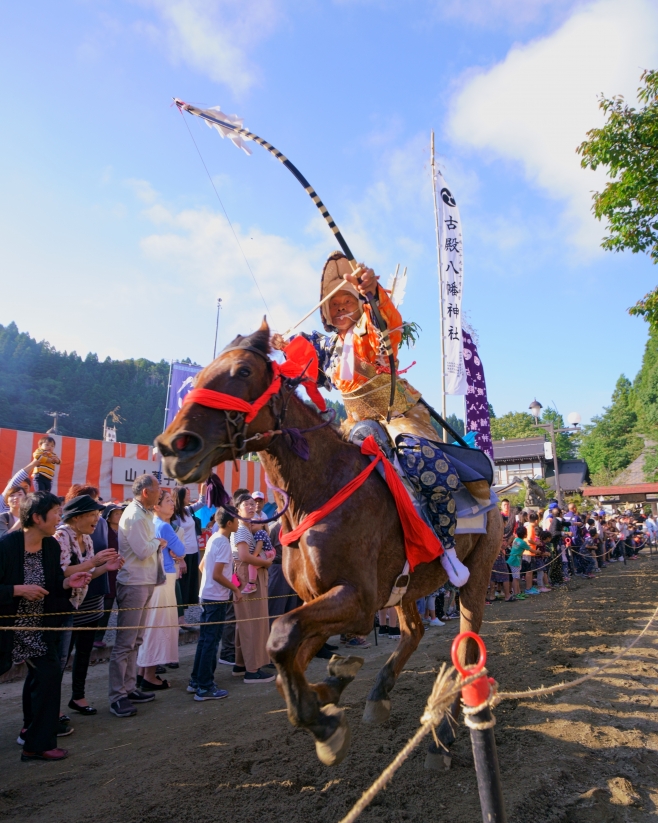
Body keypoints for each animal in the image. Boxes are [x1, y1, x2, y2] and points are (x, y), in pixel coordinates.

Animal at [155, 320, 502, 768]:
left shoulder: (357, 602)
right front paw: (332, 687)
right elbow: (281, 657)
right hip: (409, 587)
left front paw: (324, 721)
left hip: (477, 574)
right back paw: (381, 695)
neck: (320, 490)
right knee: (414, 629)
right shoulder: (317, 599)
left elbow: (281, 634)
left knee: (469, 647)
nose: (174, 445)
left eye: (243, 372)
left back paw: (443, 729)